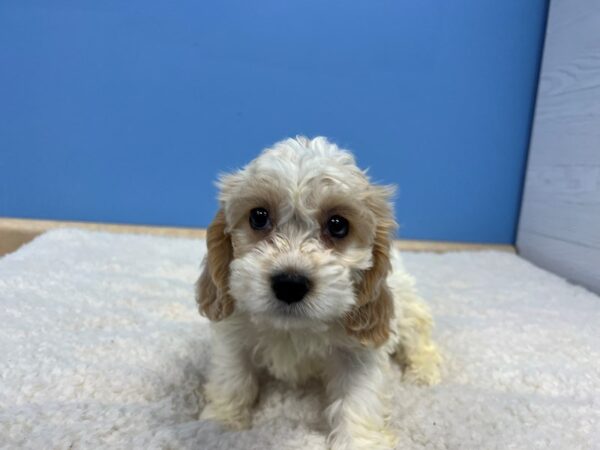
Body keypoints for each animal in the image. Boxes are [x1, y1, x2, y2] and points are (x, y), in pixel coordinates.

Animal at [197, 137, 440, 450]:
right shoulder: (234, 333)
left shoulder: (360, 352)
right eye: (258, 217)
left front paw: (358, 442)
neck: (295, 329)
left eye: (338, 225)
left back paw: (425, 370)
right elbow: (232, 376)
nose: (290, 283)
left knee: (420, 335)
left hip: (406, 307)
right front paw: (221, 425)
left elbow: (358, 399)